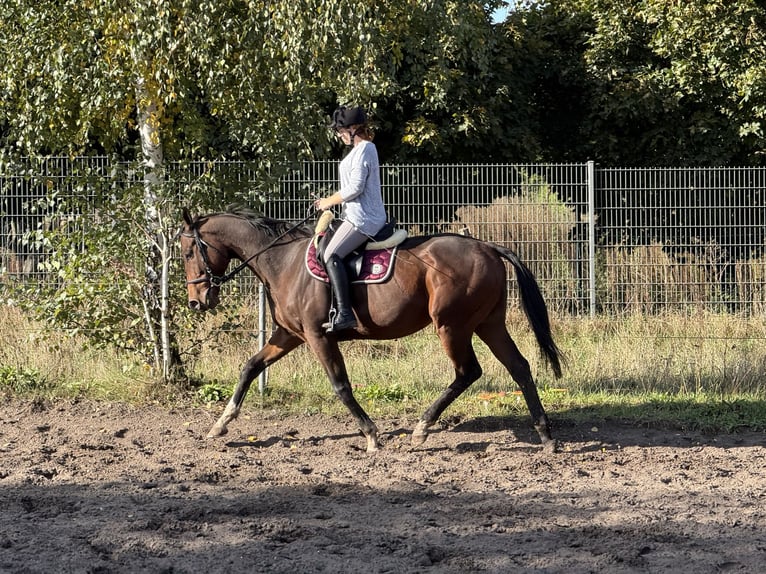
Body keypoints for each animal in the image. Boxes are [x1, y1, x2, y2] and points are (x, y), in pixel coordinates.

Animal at [180, 207, 564, 454]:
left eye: (187, 252)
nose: (196, 302)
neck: (283, 262)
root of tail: (487, 247)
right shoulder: (288, 335)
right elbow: (250, 367)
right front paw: (220, 425)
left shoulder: (318, 337)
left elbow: (340, 386)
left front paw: (371, 436)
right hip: (488, 324)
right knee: (519, 367)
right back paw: (545, 434)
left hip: (452, 326)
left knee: (468, 371)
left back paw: (422, 428)